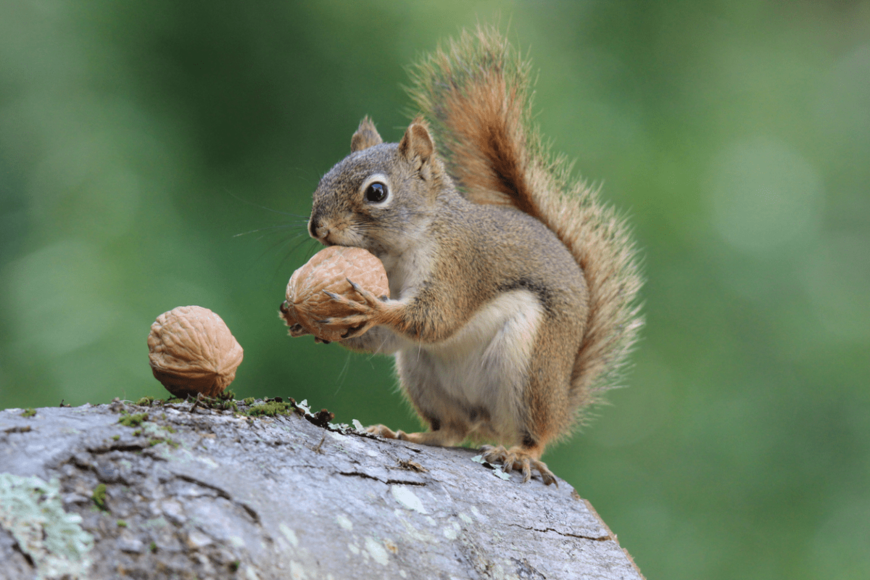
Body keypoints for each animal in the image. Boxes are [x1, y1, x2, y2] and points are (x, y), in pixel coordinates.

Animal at [304, 26, 640, 484]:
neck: (400, 250)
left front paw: (372, 307)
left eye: (376, 192)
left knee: (533, 434)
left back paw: (520, 454)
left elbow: (435, 318)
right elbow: (386, 340)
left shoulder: (460, 266)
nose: (317, 227)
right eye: (325, 177)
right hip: (421, 374)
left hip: (529, 369)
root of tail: (560, 400)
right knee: (452, 430)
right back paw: (405, 434)